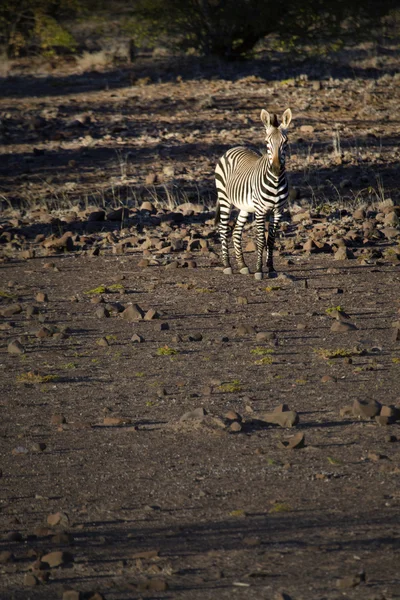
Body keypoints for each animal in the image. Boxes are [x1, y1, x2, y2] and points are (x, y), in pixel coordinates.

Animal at [214, 109, 292, 280]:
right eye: (267, 142)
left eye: (285, 142)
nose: (276, 169)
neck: (275, 182)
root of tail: (234, 147)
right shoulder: (261, 211)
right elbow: (261, 240)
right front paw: (258, 270)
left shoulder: (278, 211)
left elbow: (271, 240)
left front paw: (271, 269)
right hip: (224, 197)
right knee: (223, 228)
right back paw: (227, 265)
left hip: (245, 207)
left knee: (236, 231)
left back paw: (242, 265)